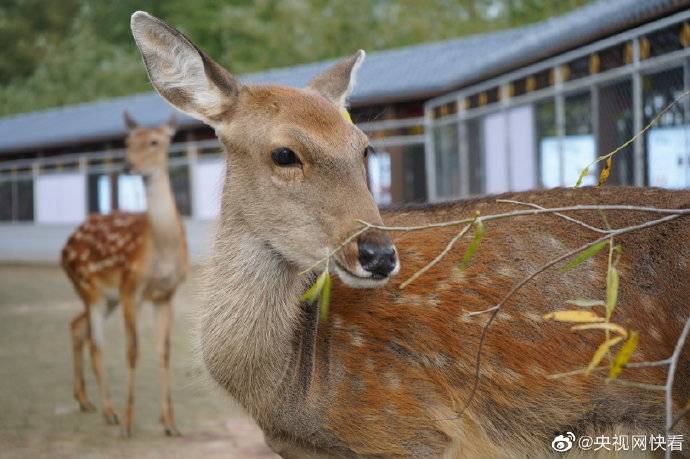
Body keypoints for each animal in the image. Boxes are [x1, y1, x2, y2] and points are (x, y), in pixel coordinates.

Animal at [60, 112, 185, 438]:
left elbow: (164, 352)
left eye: (155, 141)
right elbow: (132, 351)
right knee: (96, 343)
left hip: (106, 296)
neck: (161, 246)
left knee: (77, 326)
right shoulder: (132, 288)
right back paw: (111, 412)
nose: (128, 166)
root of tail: (64, 248)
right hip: (89, 287)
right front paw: (130, 422)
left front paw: (170, 423)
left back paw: (85, 401)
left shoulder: (167, 294)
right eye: (127, 142)